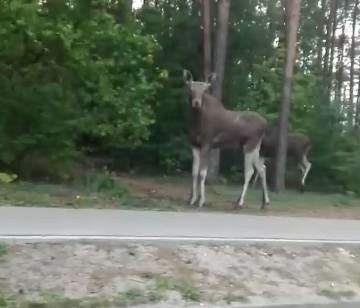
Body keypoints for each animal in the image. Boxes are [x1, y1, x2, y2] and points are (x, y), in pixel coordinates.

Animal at [186, 70, 270, 209]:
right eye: (191, 89)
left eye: (204, 90)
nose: (196, 102)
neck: (195, 123)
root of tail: (266, 124)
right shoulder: (194, 145)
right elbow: (194, 172)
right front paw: (192, 199)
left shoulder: (207, 144)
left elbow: (202, 173)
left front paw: (201, 200)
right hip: (255, 147)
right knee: (262, 168)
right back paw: (265, 202)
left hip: (249, 145)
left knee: (250, 171)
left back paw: (240, 202)